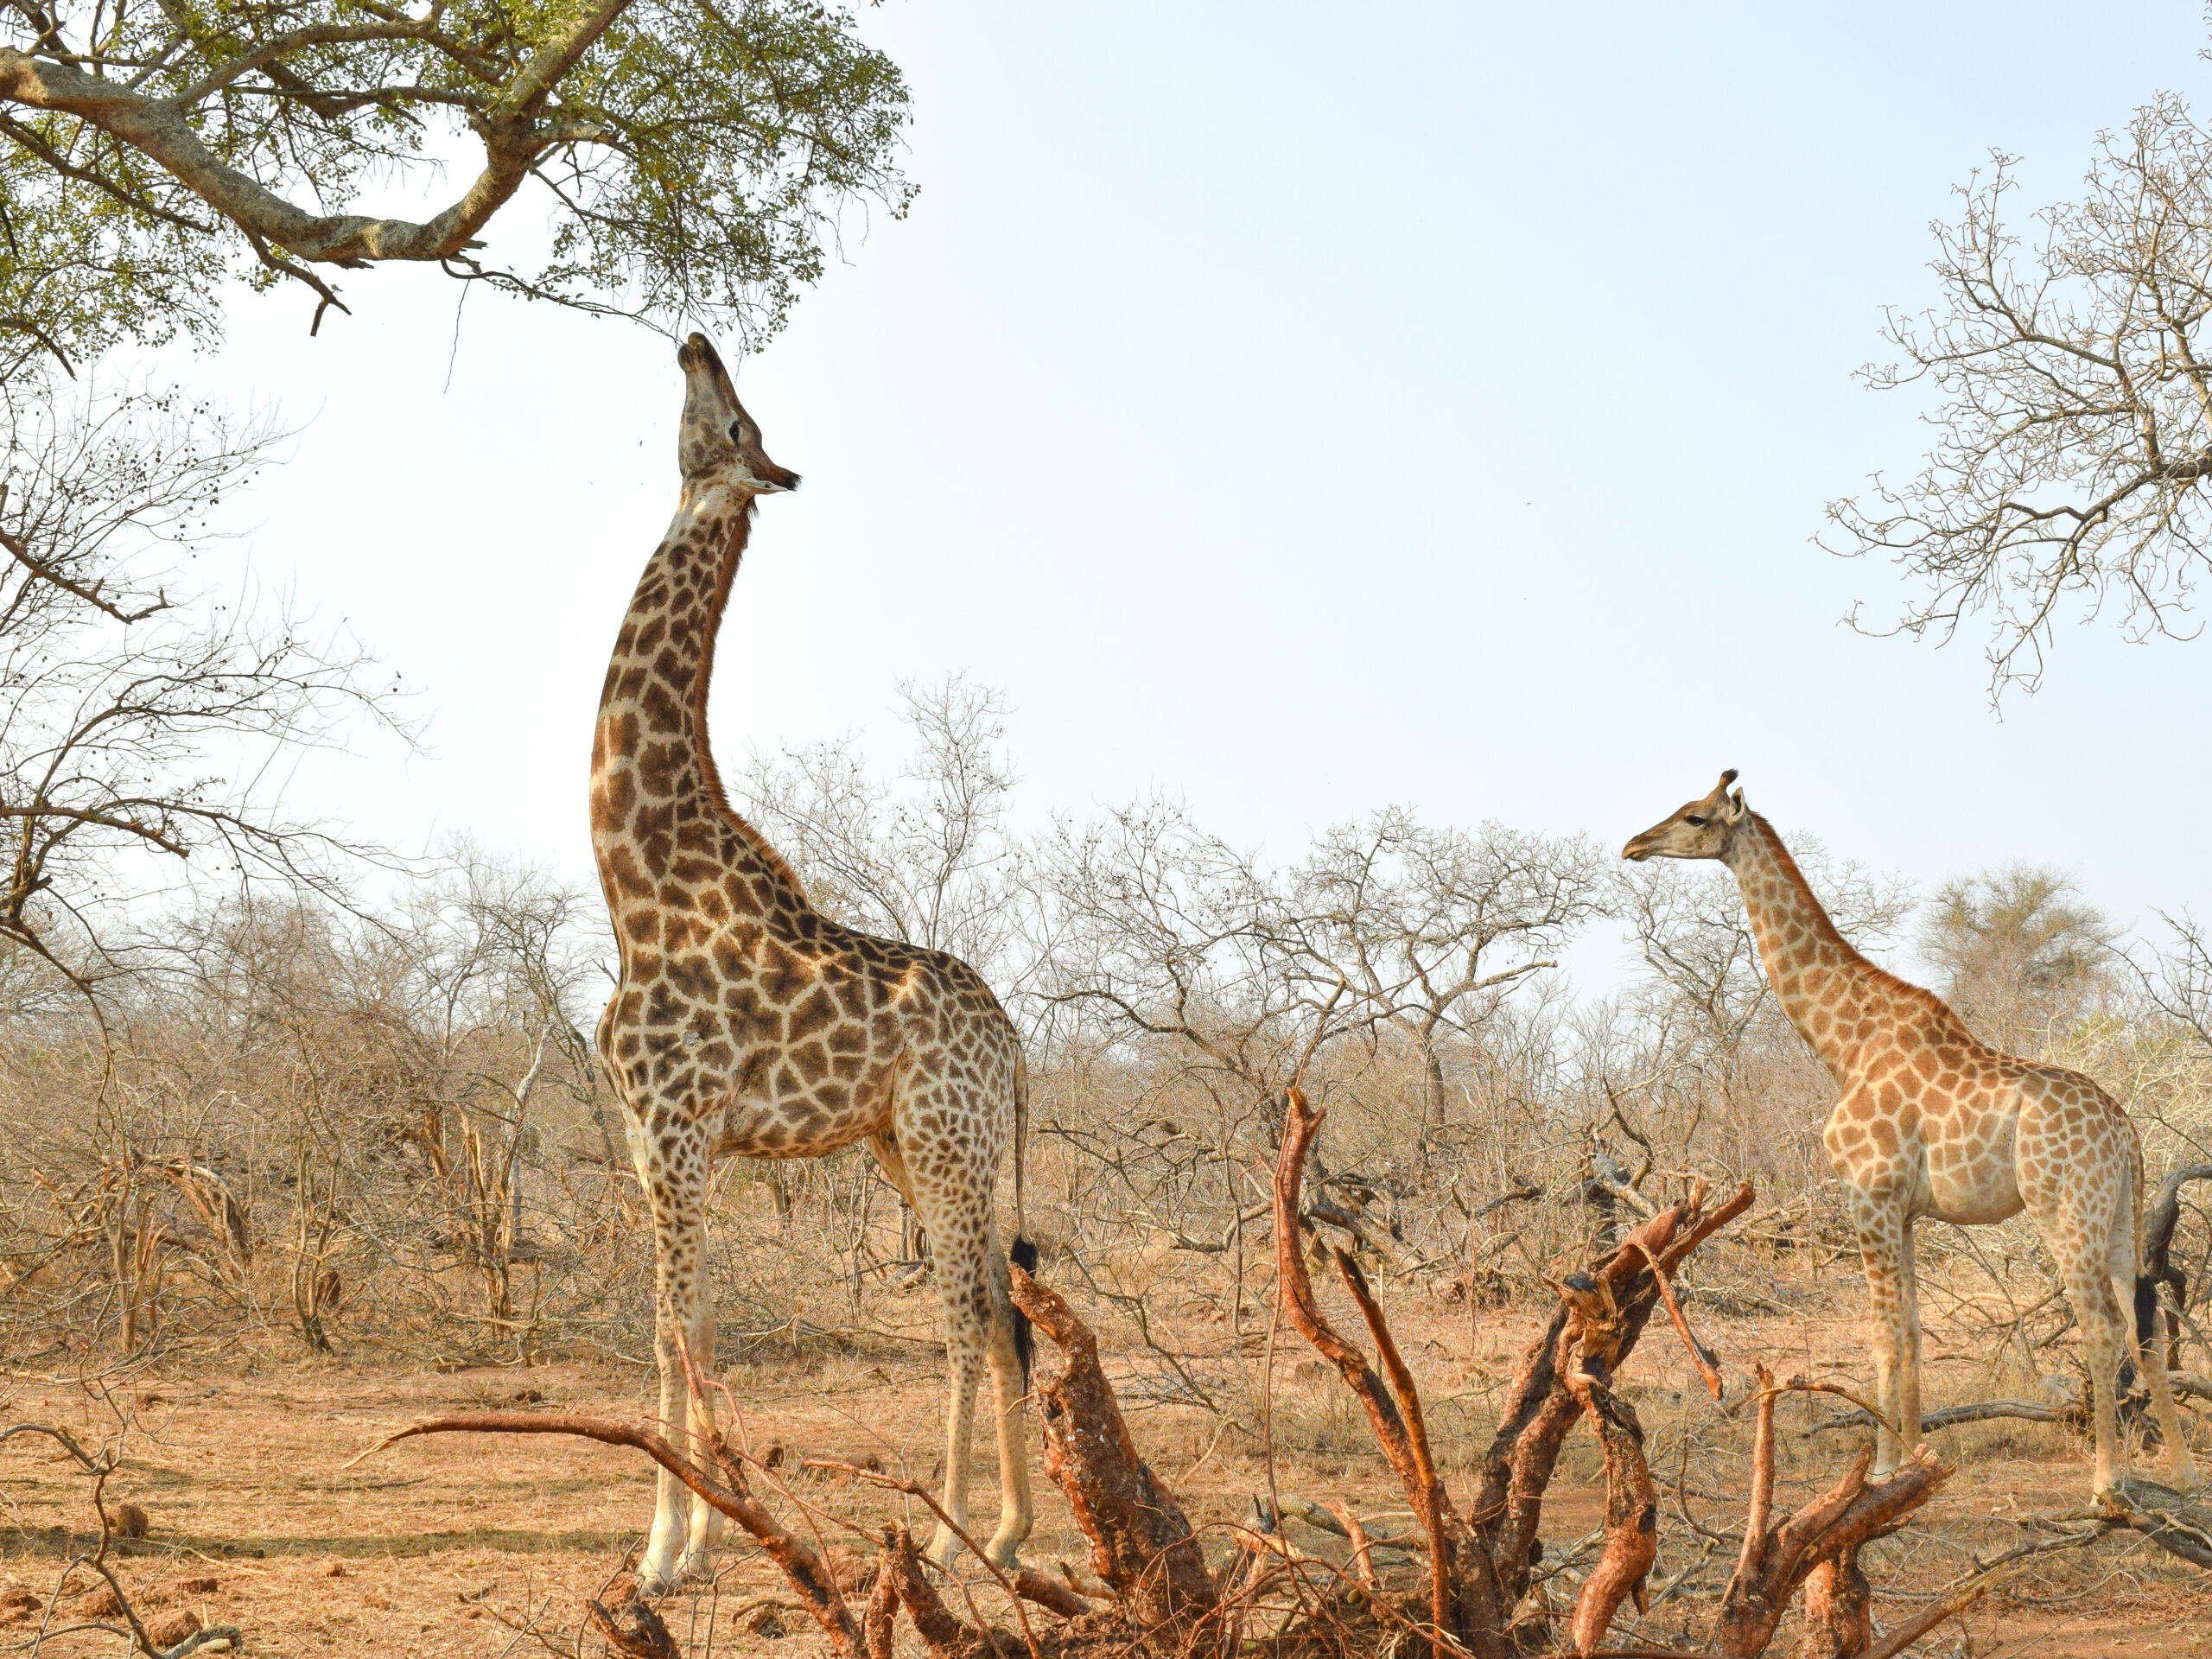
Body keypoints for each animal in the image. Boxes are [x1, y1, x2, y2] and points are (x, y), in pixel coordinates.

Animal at [588, 332, 1035, 1592]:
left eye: (738, 427)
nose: (696, 342)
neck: (633, 879)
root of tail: (1017, 1045)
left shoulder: (680, 1123)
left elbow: (667, 1329)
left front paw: (663, 1551)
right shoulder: (655, 1132)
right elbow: (690, 1327)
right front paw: (695, 1538)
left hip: (941, 1139)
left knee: (964, 1315)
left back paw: (945, 1534)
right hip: (910, 1142)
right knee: (1004, 1311)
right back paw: (1008, 1530)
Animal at [1618, 774, 2202, 1503]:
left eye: (1696, 816)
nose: (1634, 845)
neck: (1843, 1044)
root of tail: (2125, 1130)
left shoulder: (1868, 1196)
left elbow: (1883, 1332)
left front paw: (1882, 1468)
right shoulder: (1905, 1210)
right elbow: (1915, 1330)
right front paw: (1915, 1462)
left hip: (2064, 1207)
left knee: (2102, 1324)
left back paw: (2107, 1482)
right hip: (2118, 1210)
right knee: (2144, 1323)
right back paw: (2182, 1477)